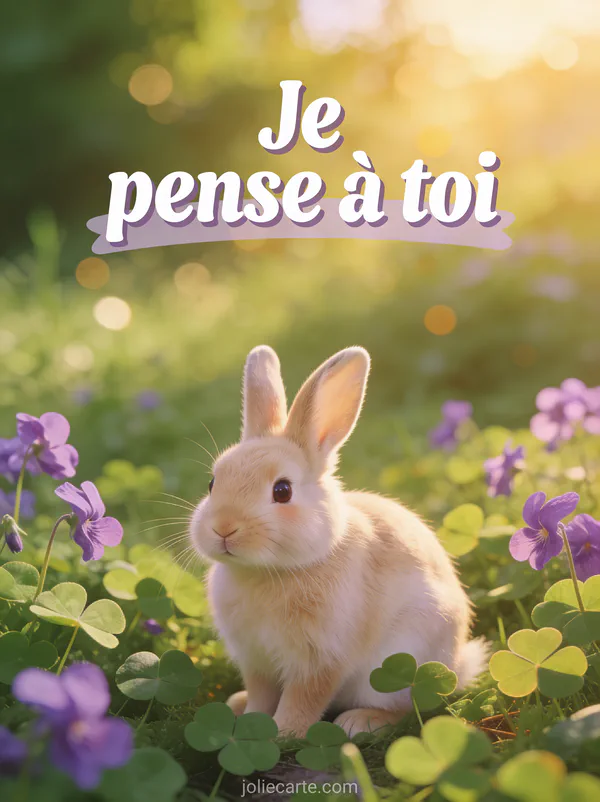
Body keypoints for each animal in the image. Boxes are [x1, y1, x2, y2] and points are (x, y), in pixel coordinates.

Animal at [189, 345, 488, 737]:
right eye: (212, 483)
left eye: (282, 491)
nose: (224, 528)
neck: (270, 572)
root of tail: (456, 665)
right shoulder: (256, 660)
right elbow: (261, 695)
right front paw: (252, 718)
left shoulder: (321, 659)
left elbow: (304, 699)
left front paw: (284, 733)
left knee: (407, 708)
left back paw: (359, 721)